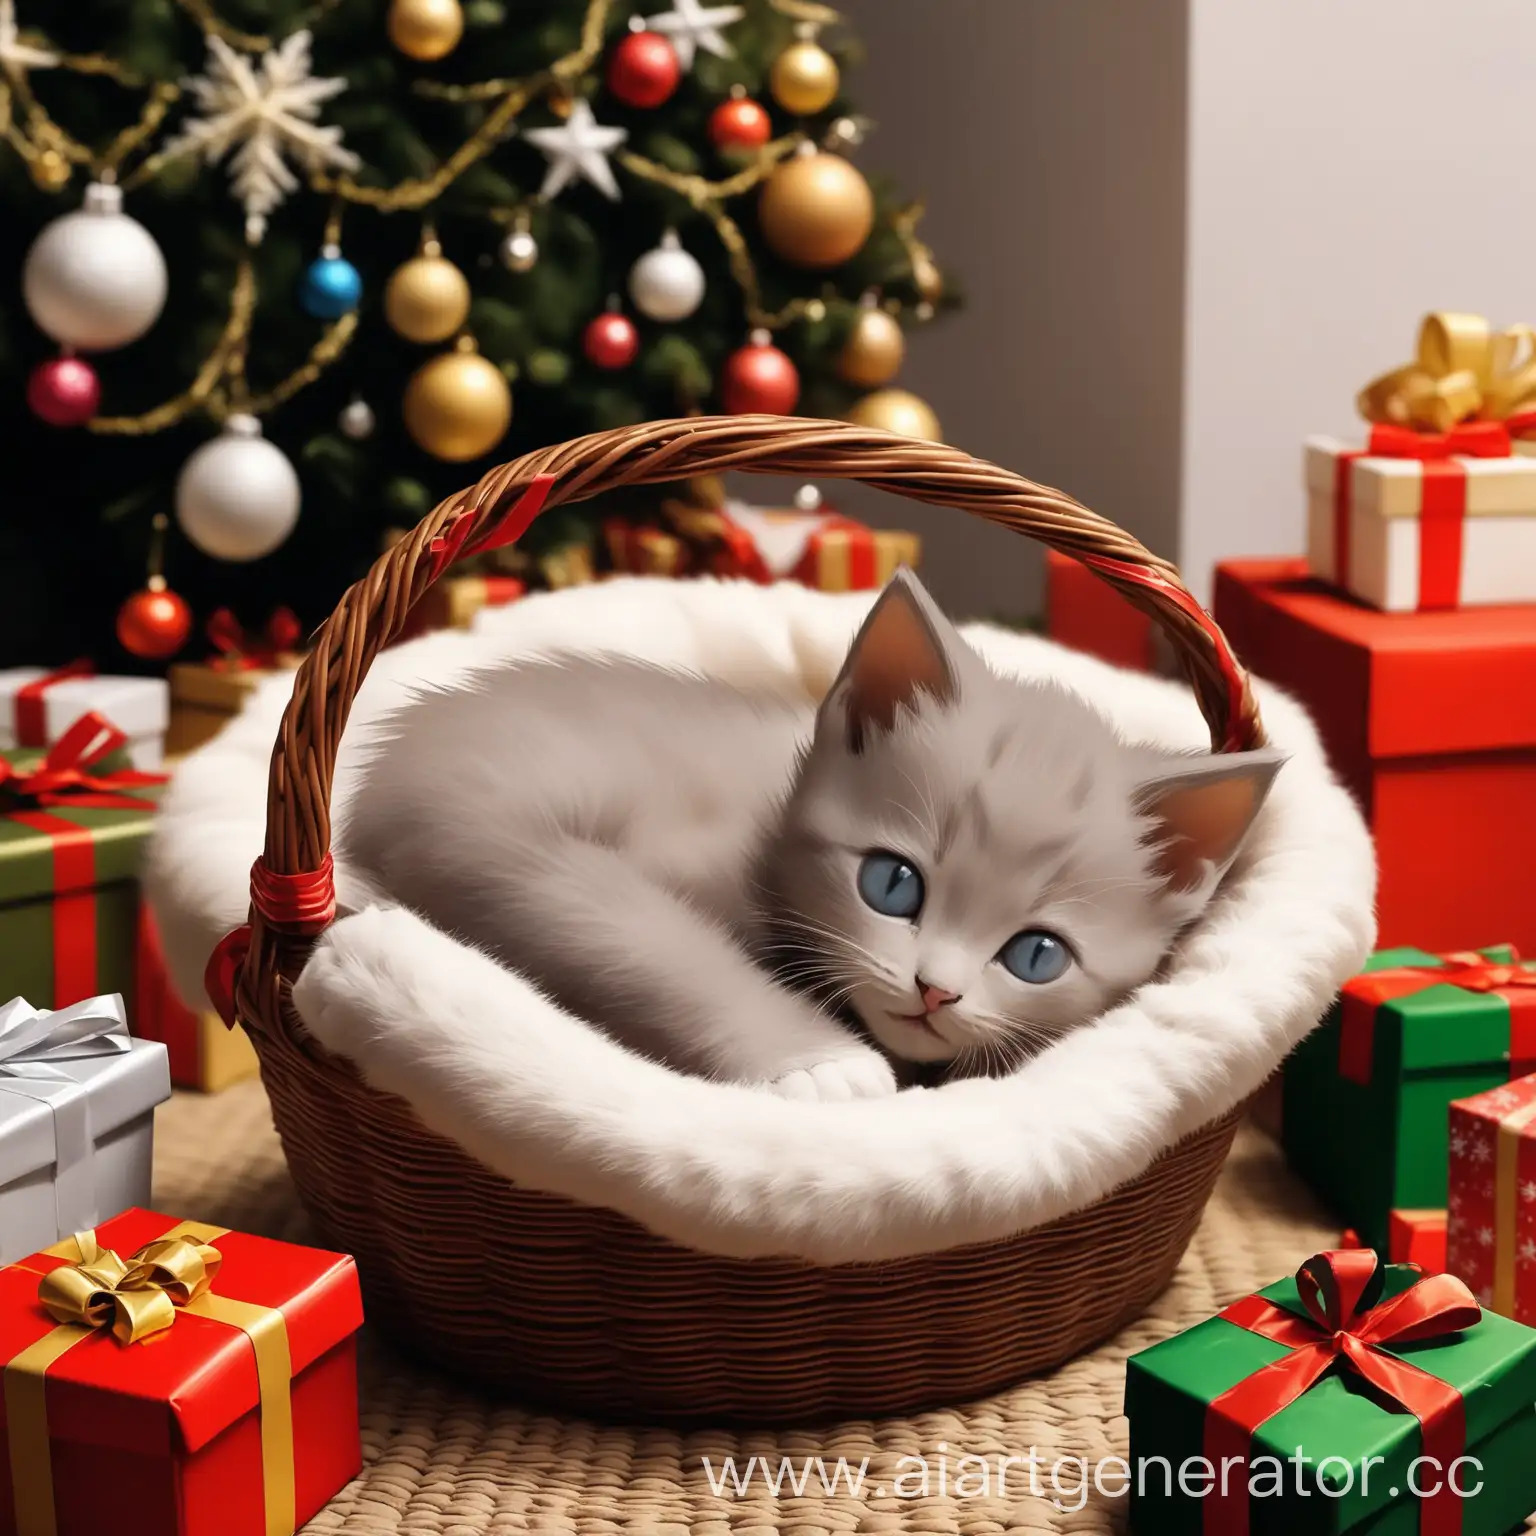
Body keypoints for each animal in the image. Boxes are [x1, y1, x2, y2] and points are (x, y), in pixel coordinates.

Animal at [339, 571, 1284, 1099]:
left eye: (1037, 955)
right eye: (893, 884)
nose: (935, 991)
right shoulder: (500, 832)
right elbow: (629, 930)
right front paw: (823, 1061)